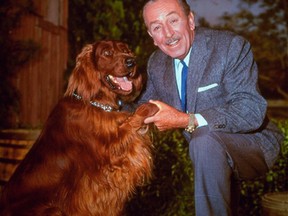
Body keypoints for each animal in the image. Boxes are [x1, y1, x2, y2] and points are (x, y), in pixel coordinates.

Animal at [0, 41, 159, 216]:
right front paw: (149, 108)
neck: (95, 103)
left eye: (125, 50)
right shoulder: (111, 149)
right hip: (52, 209)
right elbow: (131, 122)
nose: (132, 61)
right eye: (107, 53)